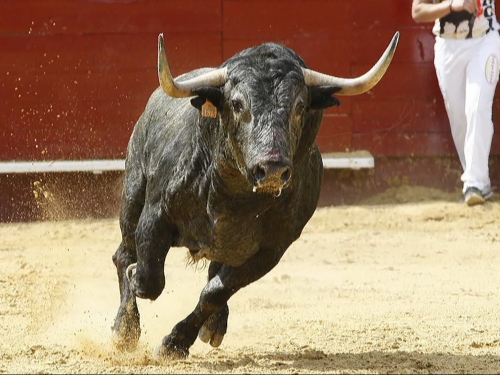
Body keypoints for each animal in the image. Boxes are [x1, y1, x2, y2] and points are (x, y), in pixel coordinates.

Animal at [111, 30, 400, 360]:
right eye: (237, 103)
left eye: (300, 106)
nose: (271, 168)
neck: (232, 194)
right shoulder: (155, 215)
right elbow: (147, 279)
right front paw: (136, 306)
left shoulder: (271, 250)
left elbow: (214, 291)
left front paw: (175, 342)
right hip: (133, 194)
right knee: (124, 255)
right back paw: (123, 332)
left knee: (212, 275)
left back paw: (214, 324)